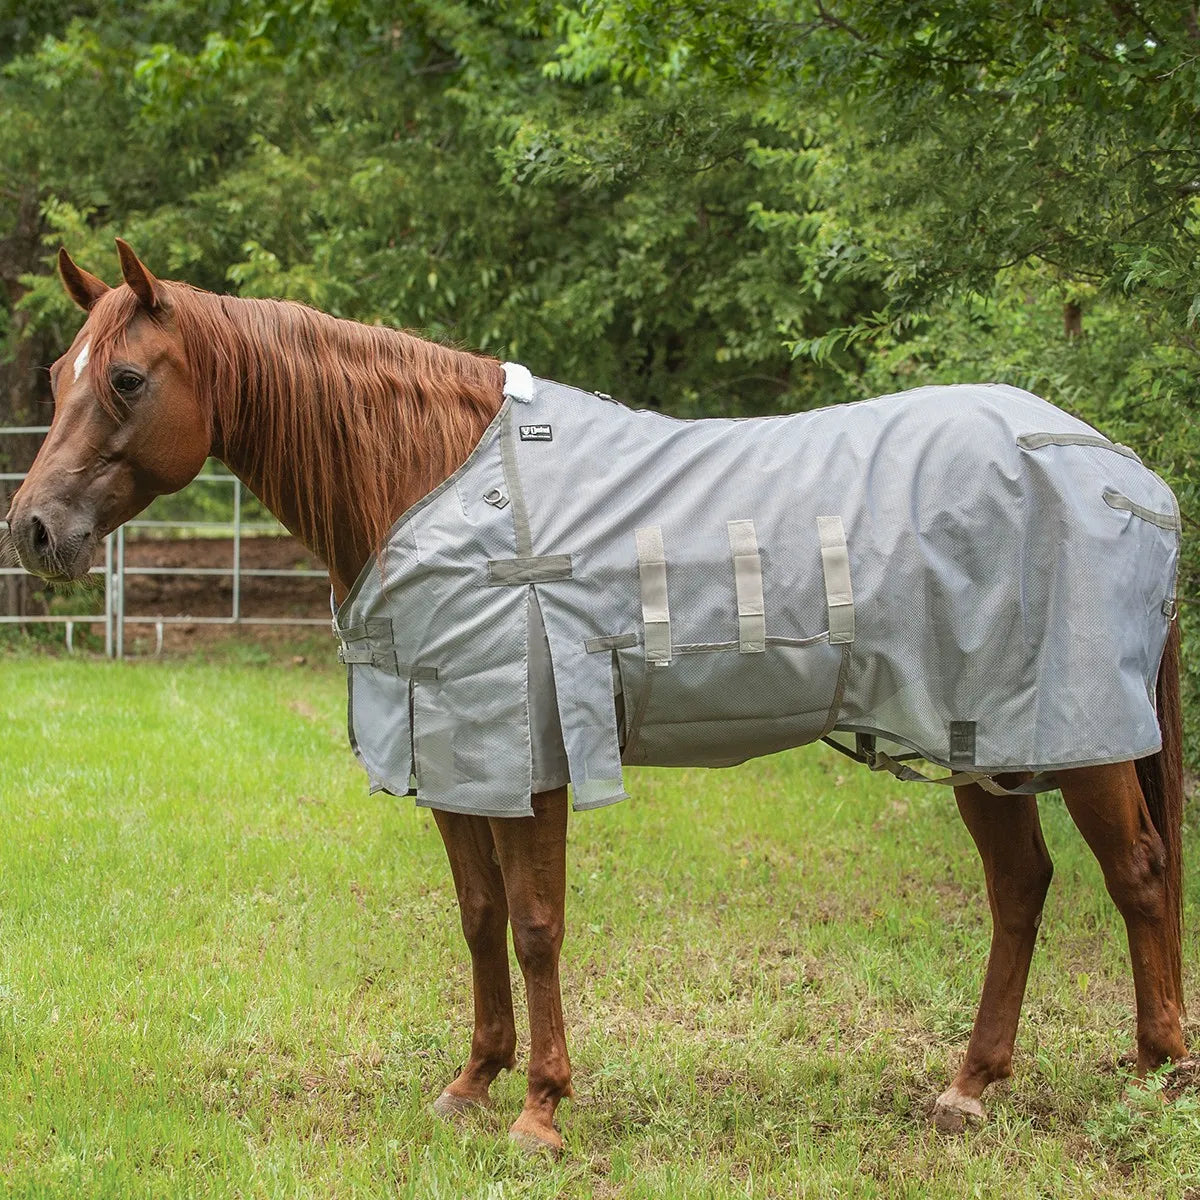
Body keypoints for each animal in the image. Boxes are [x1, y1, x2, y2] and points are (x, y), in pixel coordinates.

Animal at [6, 241, 1188, 1152]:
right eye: (61, 370)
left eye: (126, 379)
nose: (33, 531)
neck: (439, 480)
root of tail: (1125, 470)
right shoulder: (454, 752)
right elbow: (479, 918)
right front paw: (472, 1085)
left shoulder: (531, 758)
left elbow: (536, 925)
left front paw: (541, 1111)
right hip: (983, 737)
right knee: (1023, 887)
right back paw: (970, 1086)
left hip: (1073, 734)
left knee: (1136, 875)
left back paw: (1156, 1073)